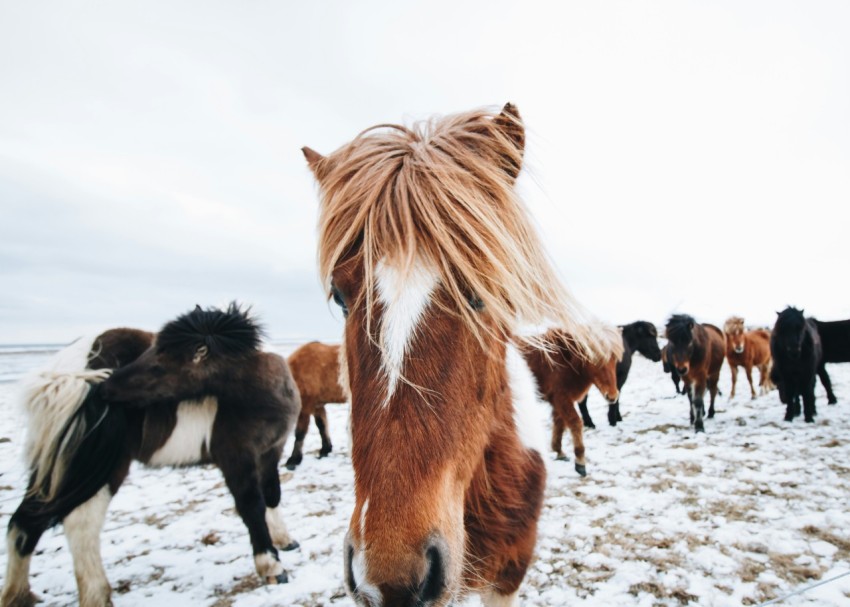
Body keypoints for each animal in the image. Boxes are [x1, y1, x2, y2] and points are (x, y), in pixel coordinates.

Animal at [2, 304, 301, 607]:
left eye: (158, 366)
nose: (106, 387)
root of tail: (61, 372)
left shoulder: (270, 452)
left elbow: (272, 495)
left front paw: (284, 541)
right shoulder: (237, 458)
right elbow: (252, 506)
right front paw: (271, 566)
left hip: (58, 468)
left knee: (23, 523)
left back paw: (18, 594)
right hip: (102, 468)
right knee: (80, 523)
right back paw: (96, 594)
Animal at [284, 341, 348, 470]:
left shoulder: (305, 408)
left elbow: (300, 433)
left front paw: (294, 459)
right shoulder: (317, 406)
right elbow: (321, 426)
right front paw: (325, 449)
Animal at [521, 327, 621, 475]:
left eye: (614, 360)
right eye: (595, 360)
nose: (612, 396)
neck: (564, 361)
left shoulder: (559, 402)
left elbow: (559, 423)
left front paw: (559, 451)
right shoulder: (562, 399)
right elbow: (575, 423)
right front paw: (580, 462)